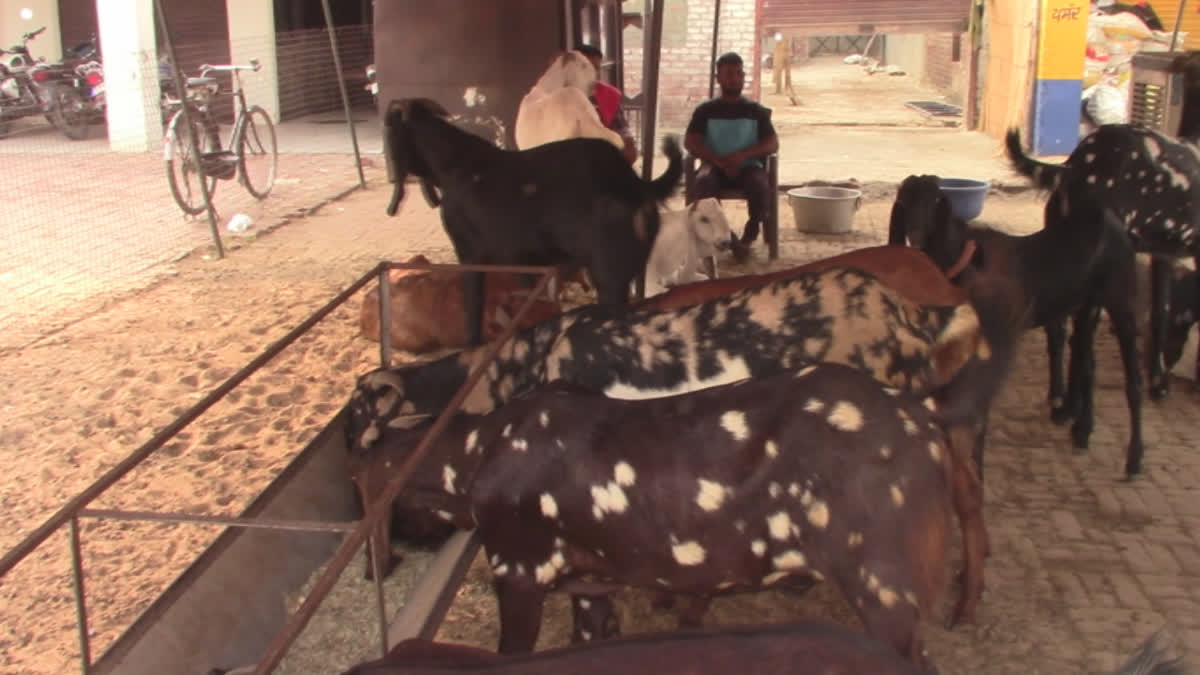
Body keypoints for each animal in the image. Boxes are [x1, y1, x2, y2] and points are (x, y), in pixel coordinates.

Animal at [892, 172, 1152, 478]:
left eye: (935, 200)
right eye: (904, 200)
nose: (916, 233)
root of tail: (1112, 222)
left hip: (1121, 300)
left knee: (1133, 380)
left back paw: (1133, 458)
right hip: (1088, 305)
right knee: (1087, 363)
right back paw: (1081, 429)